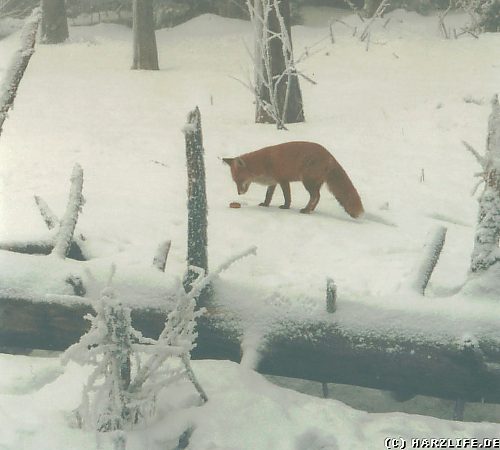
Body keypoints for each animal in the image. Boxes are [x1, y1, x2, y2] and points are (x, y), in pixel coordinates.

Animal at [223, 142, 364, 217]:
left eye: (240, 180)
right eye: (235, 181)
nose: (239, 193)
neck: (263, 164)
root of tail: (330, 156)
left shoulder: (283, 180)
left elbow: (287, 197)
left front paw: (286, 207)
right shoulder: (273, 183)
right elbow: (268, 196)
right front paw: (265, 205)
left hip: (307, 182)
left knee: (315, 196)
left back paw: (306, 210)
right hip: (314, 183)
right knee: (318, 196)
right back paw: (311, 210)